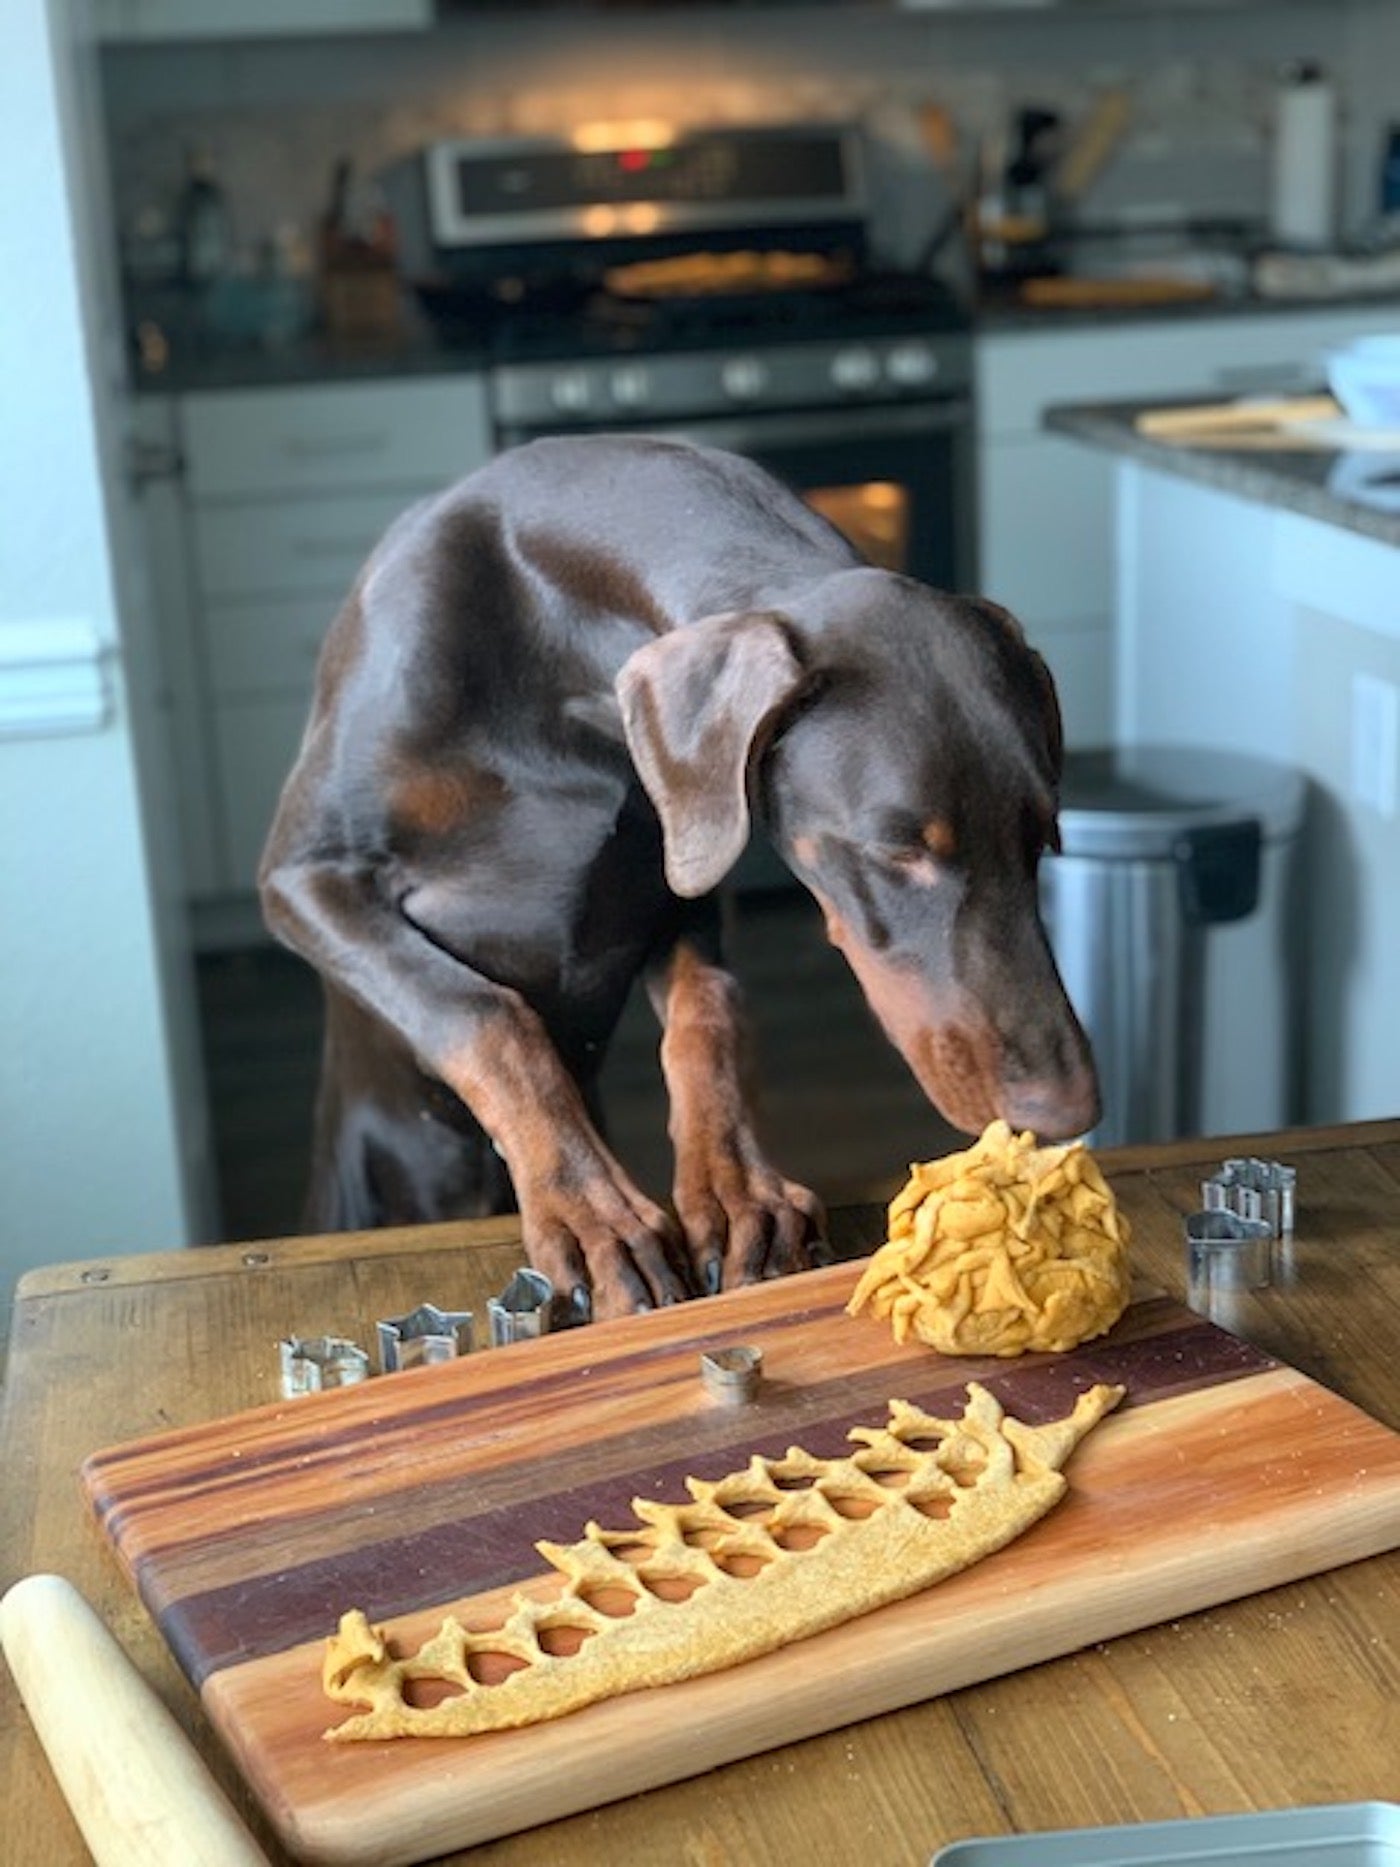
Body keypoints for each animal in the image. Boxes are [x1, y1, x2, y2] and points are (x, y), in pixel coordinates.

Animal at [261, 431, 1097, 1321]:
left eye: (1041, 835)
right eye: (897, 847)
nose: (1066, 1112)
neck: (556, 643)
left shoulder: (681, 879)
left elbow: (709, 1012)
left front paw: (736, 1190)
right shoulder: (303, 878)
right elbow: (483, 1012)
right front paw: (591, 1214)